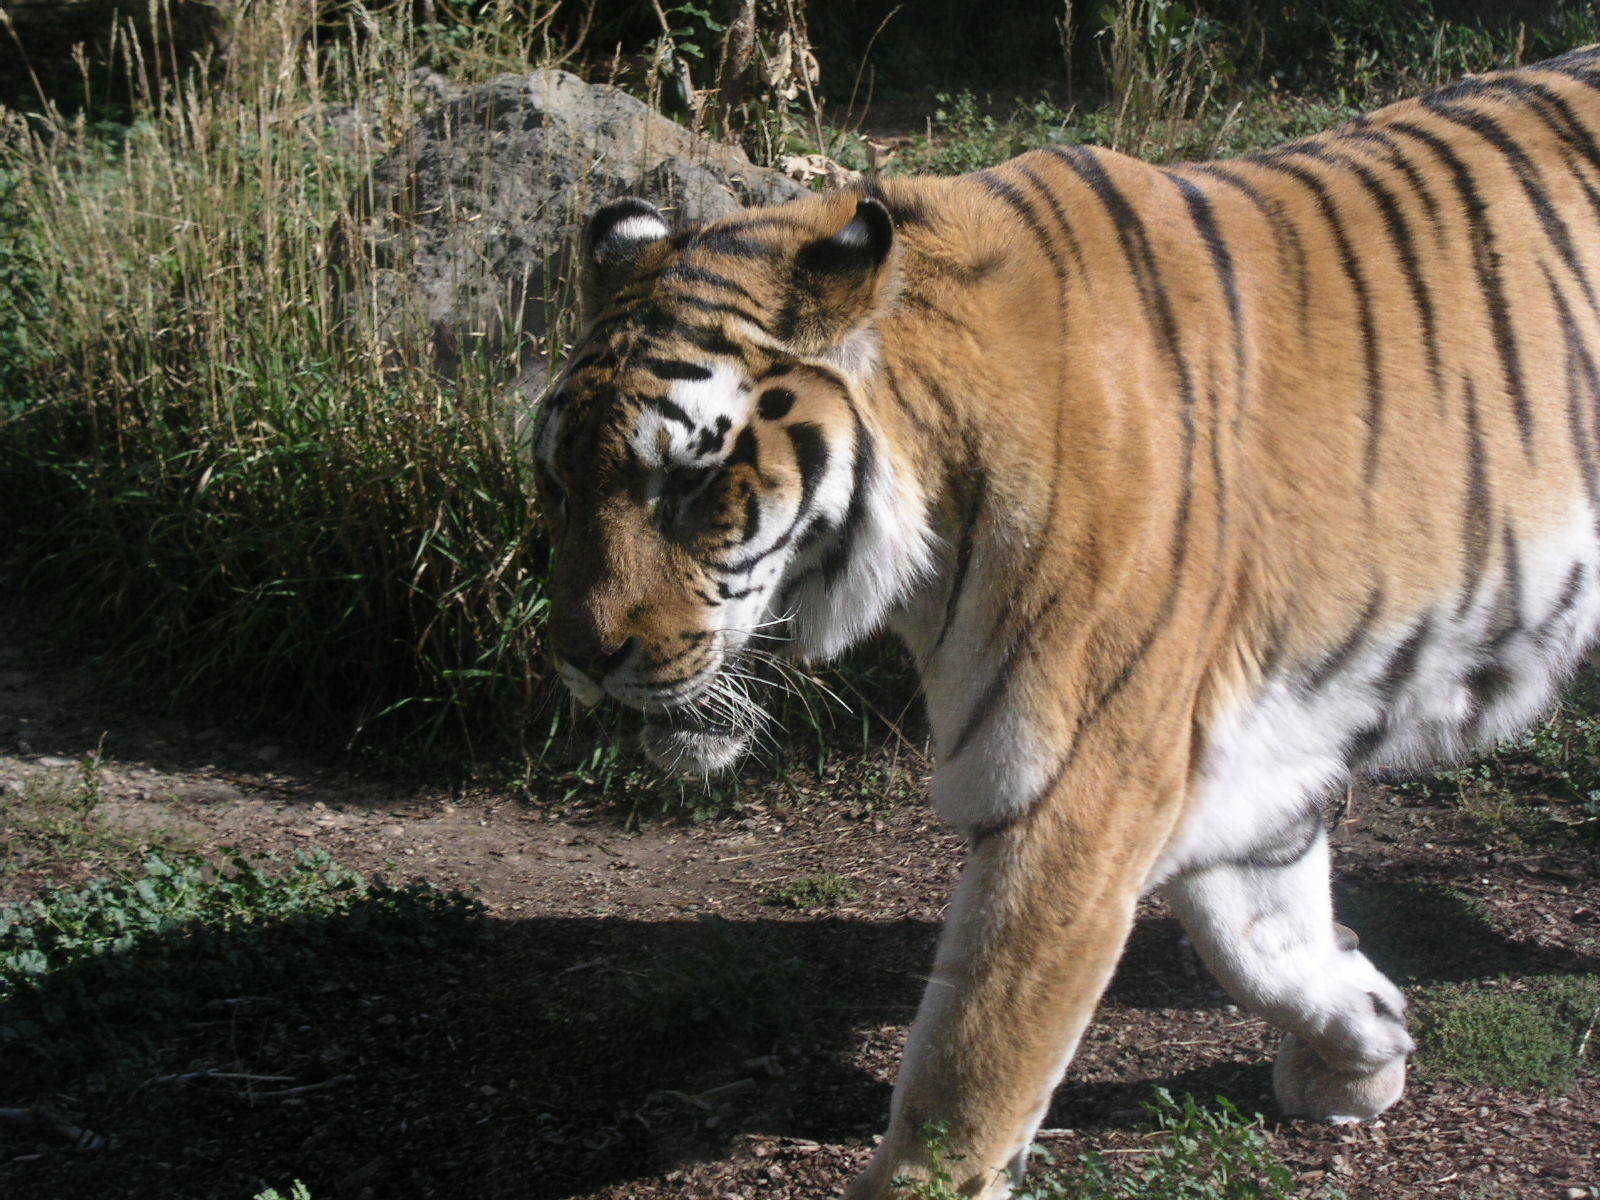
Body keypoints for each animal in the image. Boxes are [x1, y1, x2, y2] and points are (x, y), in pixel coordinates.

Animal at [529, 43, 1600, 1199]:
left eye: (689, 484)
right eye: (557, 482)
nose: (581, 658)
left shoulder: (1076, 783)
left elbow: (972, 1070)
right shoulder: (1231, 758)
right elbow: (1262, 939)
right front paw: (1364, 1047)